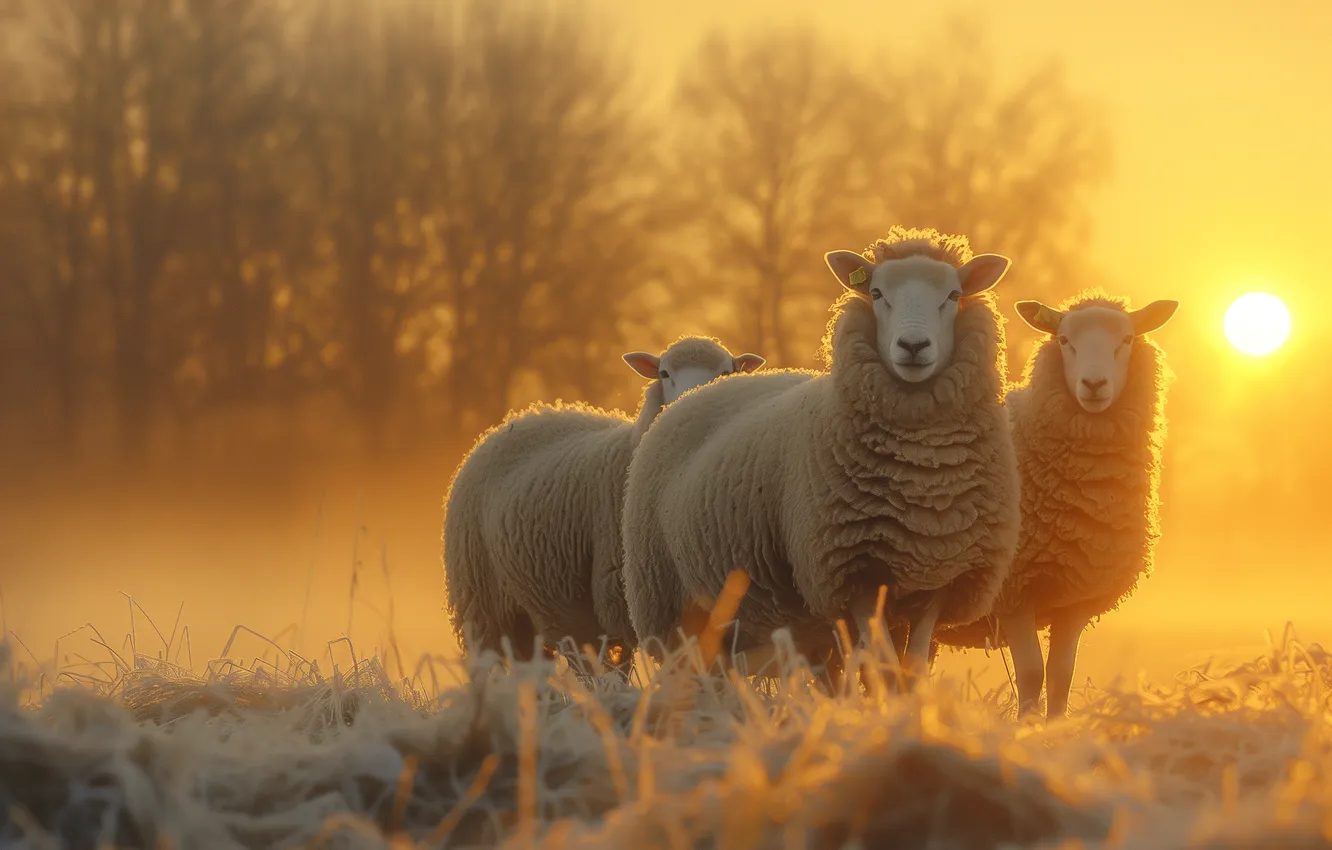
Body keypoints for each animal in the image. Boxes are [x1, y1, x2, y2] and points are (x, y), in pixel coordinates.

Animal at [620, 227, 1022, 679]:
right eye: (877, 292)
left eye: (953, 295)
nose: (913, 345)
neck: (924, 477)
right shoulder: (853, 573)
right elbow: (883, 666)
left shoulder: (941, 576)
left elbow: (912, 668)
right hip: (669, 606)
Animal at [933, 291, 1178, 718]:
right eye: (1064, 340)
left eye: (1127, 339)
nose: (1093, 384)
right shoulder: (1012, 591)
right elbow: (1032, 673)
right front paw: (1027, 724)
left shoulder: (1076, 597)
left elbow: (1062, 674)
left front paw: (1056, 726)